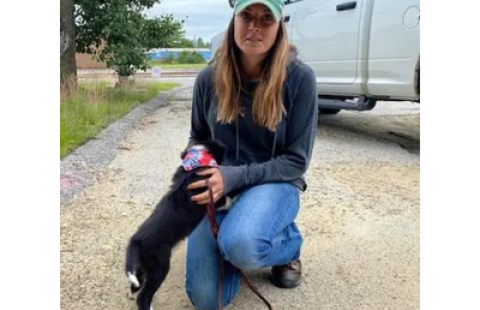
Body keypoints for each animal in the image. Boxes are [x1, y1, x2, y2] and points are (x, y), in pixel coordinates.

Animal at [124, 140, 228, 310]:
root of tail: (136, 241)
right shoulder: (214, 197)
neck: (196, 162)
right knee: (143, 296)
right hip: (158, 268)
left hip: (143, 265)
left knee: (137, 283)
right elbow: (228, 198)